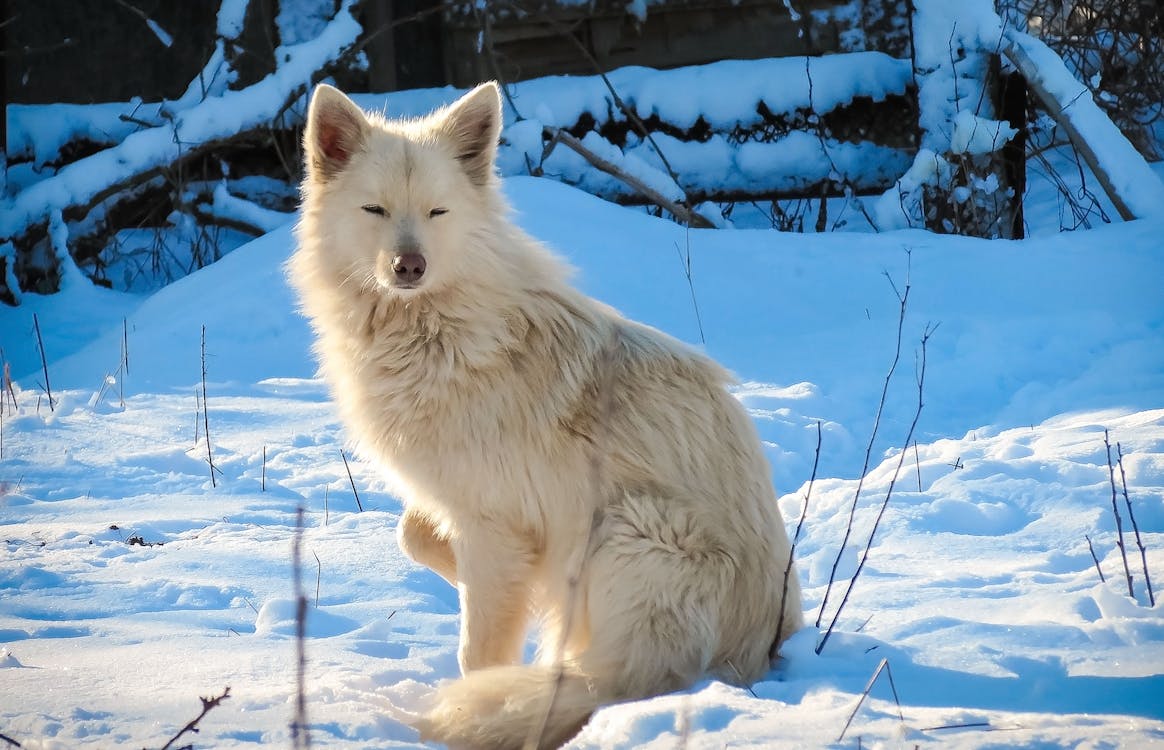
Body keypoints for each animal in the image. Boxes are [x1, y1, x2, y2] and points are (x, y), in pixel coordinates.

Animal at [289, 83, 800, 750]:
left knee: (615, 677)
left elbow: (478, 647)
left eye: (437, 213)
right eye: (374, 209)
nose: (409, 266)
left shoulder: (493, 520)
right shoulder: (465, 508)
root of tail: (759, 651)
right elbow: (414, 535)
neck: (434, 331)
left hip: (630, 530)